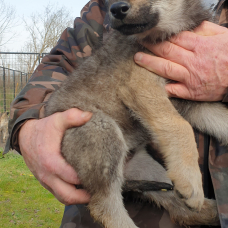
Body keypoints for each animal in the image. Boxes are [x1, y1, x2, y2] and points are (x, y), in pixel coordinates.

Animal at [45, 0, 222, 227]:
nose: (116, 9)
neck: (173, 30)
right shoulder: (141, 84)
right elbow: (180, 126)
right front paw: (190, 179)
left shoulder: (192, 99)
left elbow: (221, 118)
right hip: (102, 130)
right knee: (105, 206)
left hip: (151, 170)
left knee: (179, 208)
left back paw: (213, 211)